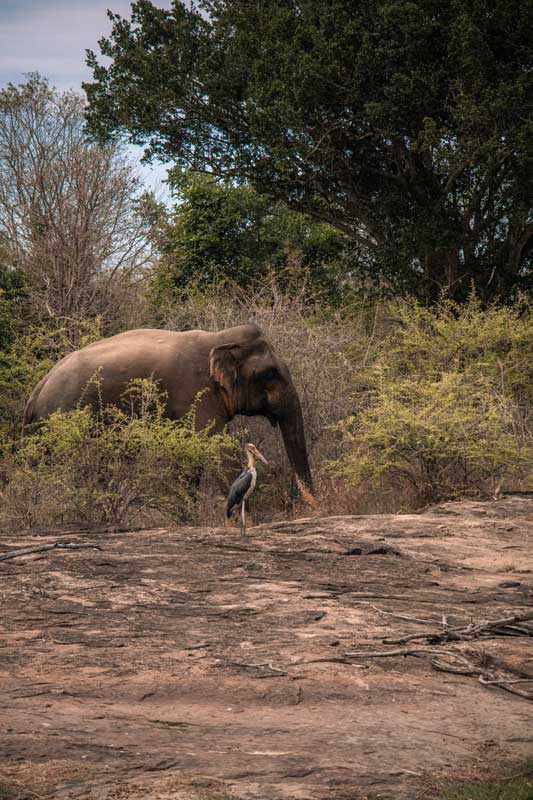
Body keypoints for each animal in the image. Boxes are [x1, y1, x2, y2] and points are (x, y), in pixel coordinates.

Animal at [23, 323, 313, 491]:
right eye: (270, 374)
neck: (218, 338)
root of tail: (36, 390)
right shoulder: (195, 391)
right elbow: (216, 449)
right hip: (63, 414)